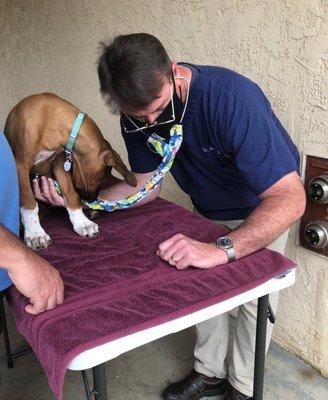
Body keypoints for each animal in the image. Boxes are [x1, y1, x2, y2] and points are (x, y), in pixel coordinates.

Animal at [5, 93, 136, 250]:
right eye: (101, 178)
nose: (91, 200)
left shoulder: (59, 163)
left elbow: (71, 194)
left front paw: (82, 223)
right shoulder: (21, 165)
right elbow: (29, 202)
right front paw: (36, 233)